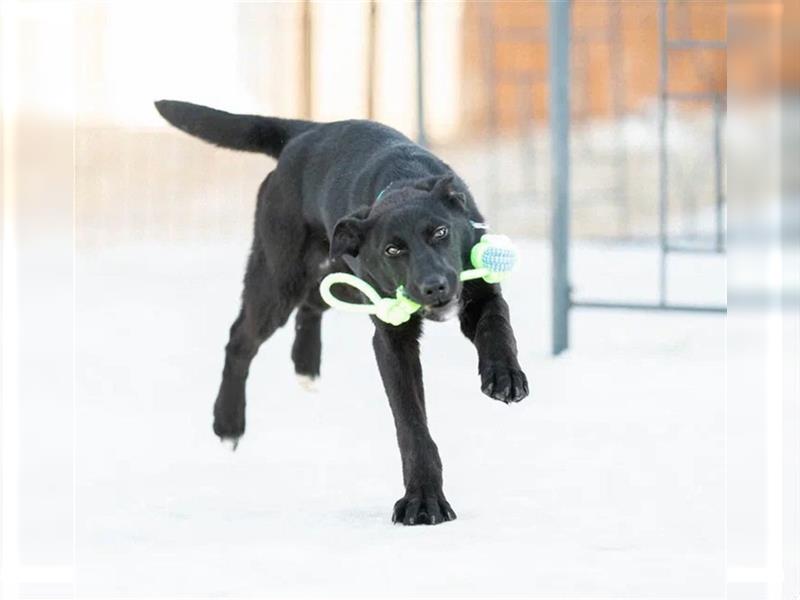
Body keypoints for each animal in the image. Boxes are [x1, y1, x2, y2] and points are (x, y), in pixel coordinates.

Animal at [156, 102, 532, 524]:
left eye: (440, 232)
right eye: (392, 249)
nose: (434, 287)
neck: (403, 182)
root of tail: (306, 133)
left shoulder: (481, 291)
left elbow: (497, 327)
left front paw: (504, 376)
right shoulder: (391, 338)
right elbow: (411, 423)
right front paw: (423, 500)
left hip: (337, 272)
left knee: (311, 304)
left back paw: (305, 365)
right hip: (279, 277)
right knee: (241, 338)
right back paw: (229, 422)